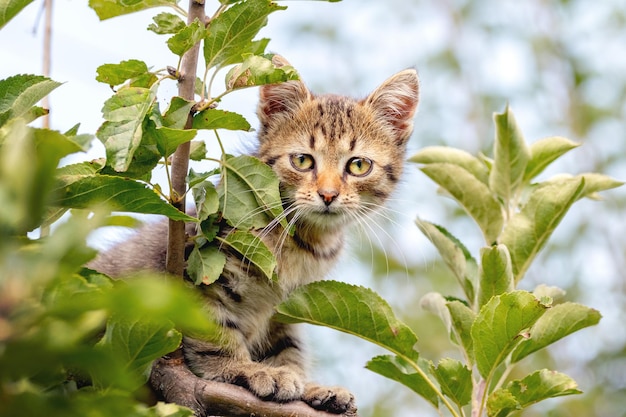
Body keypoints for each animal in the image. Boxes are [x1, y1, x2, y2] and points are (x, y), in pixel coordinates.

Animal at [90, 66, 416, 412]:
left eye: (358, 165)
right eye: (302, 160)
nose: (328, 195)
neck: (303, 241)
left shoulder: (286, 308)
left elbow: (288, 349)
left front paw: (308, 387)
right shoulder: (200, 271)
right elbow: (215, 334)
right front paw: (244, 369)